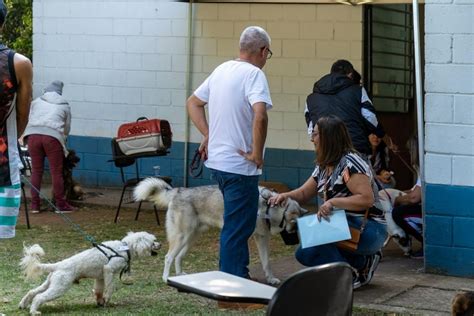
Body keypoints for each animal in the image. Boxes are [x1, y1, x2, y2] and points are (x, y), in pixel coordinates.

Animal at [18, 231, 160, 314]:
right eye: (153, 241)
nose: (161, 244)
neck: (125, 248)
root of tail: (58, 265)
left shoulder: (100, 277)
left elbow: (99, 290)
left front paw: (100, 302)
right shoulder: (108, 270)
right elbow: (110, 288)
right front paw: (107, 300)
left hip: (51, 284)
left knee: (32, 292)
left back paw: (23, 305)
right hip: (59, 288)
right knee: (39, 297)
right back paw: (34, 312)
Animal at [135, 178, 310, 284]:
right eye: (294, 226)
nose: (296, 242)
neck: (268, 208)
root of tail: (179, 190)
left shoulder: (262, 238)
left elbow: (266, 262)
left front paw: (271, 279)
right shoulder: (245, 236)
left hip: (191, 238)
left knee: (178, 257)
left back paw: (180, 275)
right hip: (181, 237)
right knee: (168, 257)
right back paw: (166, 278)